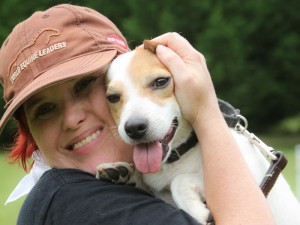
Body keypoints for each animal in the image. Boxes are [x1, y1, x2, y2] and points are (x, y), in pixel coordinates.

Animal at [97, 40, 298, 225]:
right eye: (112, 97)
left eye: (160, 81)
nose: (134, 128)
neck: (178, 159)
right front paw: (121, 171)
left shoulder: (250, 182)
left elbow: (180, 181)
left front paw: (197, 211)